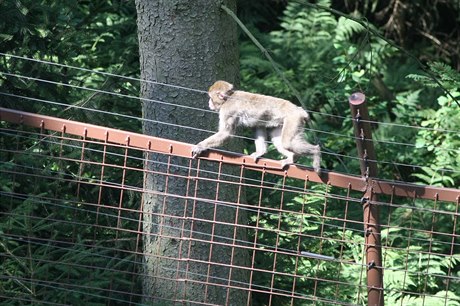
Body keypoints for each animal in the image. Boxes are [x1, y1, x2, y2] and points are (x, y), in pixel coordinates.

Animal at [192, 80, 322, 172]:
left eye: (210, 97)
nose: (209, 103)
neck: (228, 98)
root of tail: (299, 110)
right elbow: (258, 126)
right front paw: (260, 152)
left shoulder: (227, 110)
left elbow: (226, 134)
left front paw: (200, 146)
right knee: (277, 138)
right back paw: (292, 158)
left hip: (293, 119)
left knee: (287, 143)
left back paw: (315, 152)